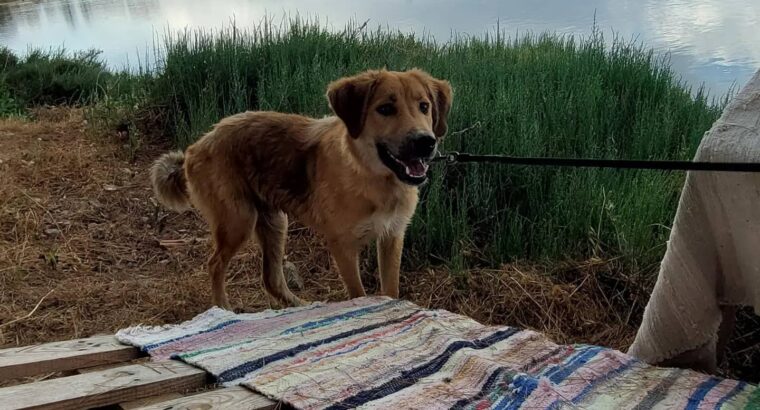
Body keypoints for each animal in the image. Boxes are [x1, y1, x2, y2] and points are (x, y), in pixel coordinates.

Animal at [151, 69, 454, 308]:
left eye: (424, 106)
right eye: (385, 109)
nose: (425, 142)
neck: (372, 177)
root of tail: (196, 146)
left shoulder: (392, 236)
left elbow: (390, 290)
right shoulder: (343, 245)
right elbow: (358, 294)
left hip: (274, 222)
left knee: (271, 278)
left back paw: (300, 306)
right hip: (238, 221)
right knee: (215, 264)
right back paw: (222, 309)